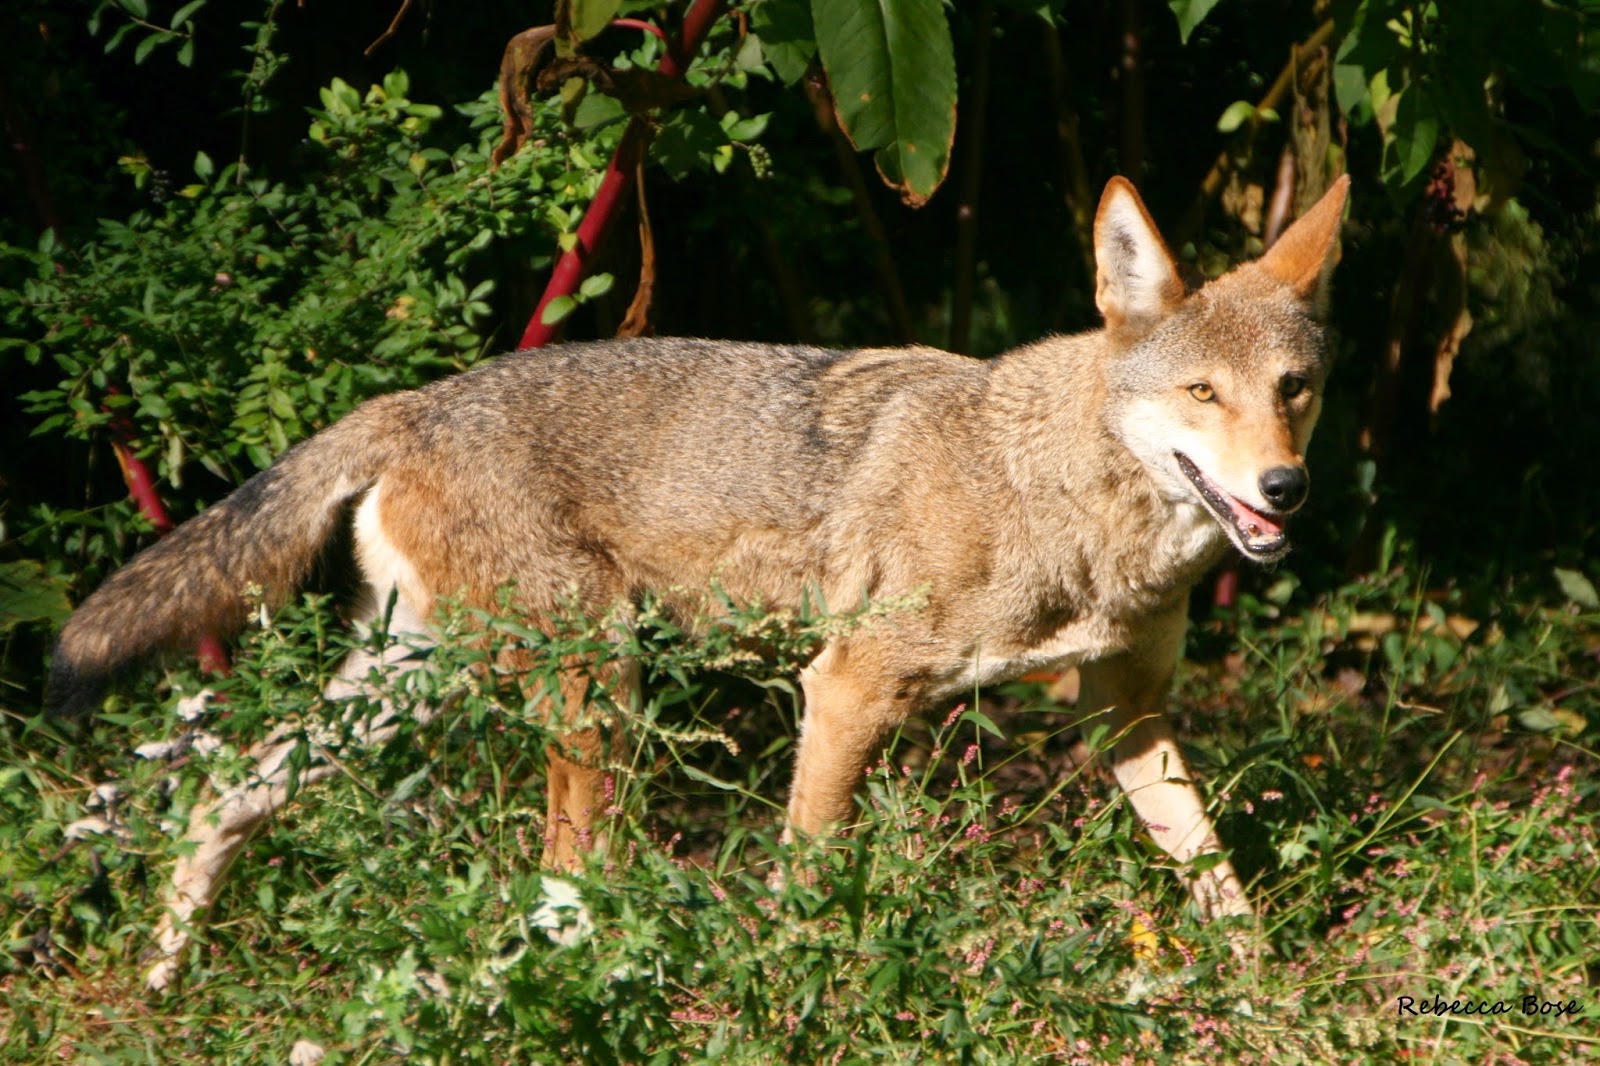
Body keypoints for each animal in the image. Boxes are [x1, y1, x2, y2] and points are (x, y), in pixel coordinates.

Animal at [49, 174, 1348, 990]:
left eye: (1293, 389)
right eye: (1201, 396)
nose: (1283, 491)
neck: (1060, 496)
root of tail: (413, 400)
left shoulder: (1126, 712)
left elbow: (1217, 878)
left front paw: (1265, 994)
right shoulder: (845, 688)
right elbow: (807, 876)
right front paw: (796, 986)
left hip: (413, 686)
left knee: (224, 796)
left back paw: (166, 975)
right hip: (596, 697)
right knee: (558, 884)